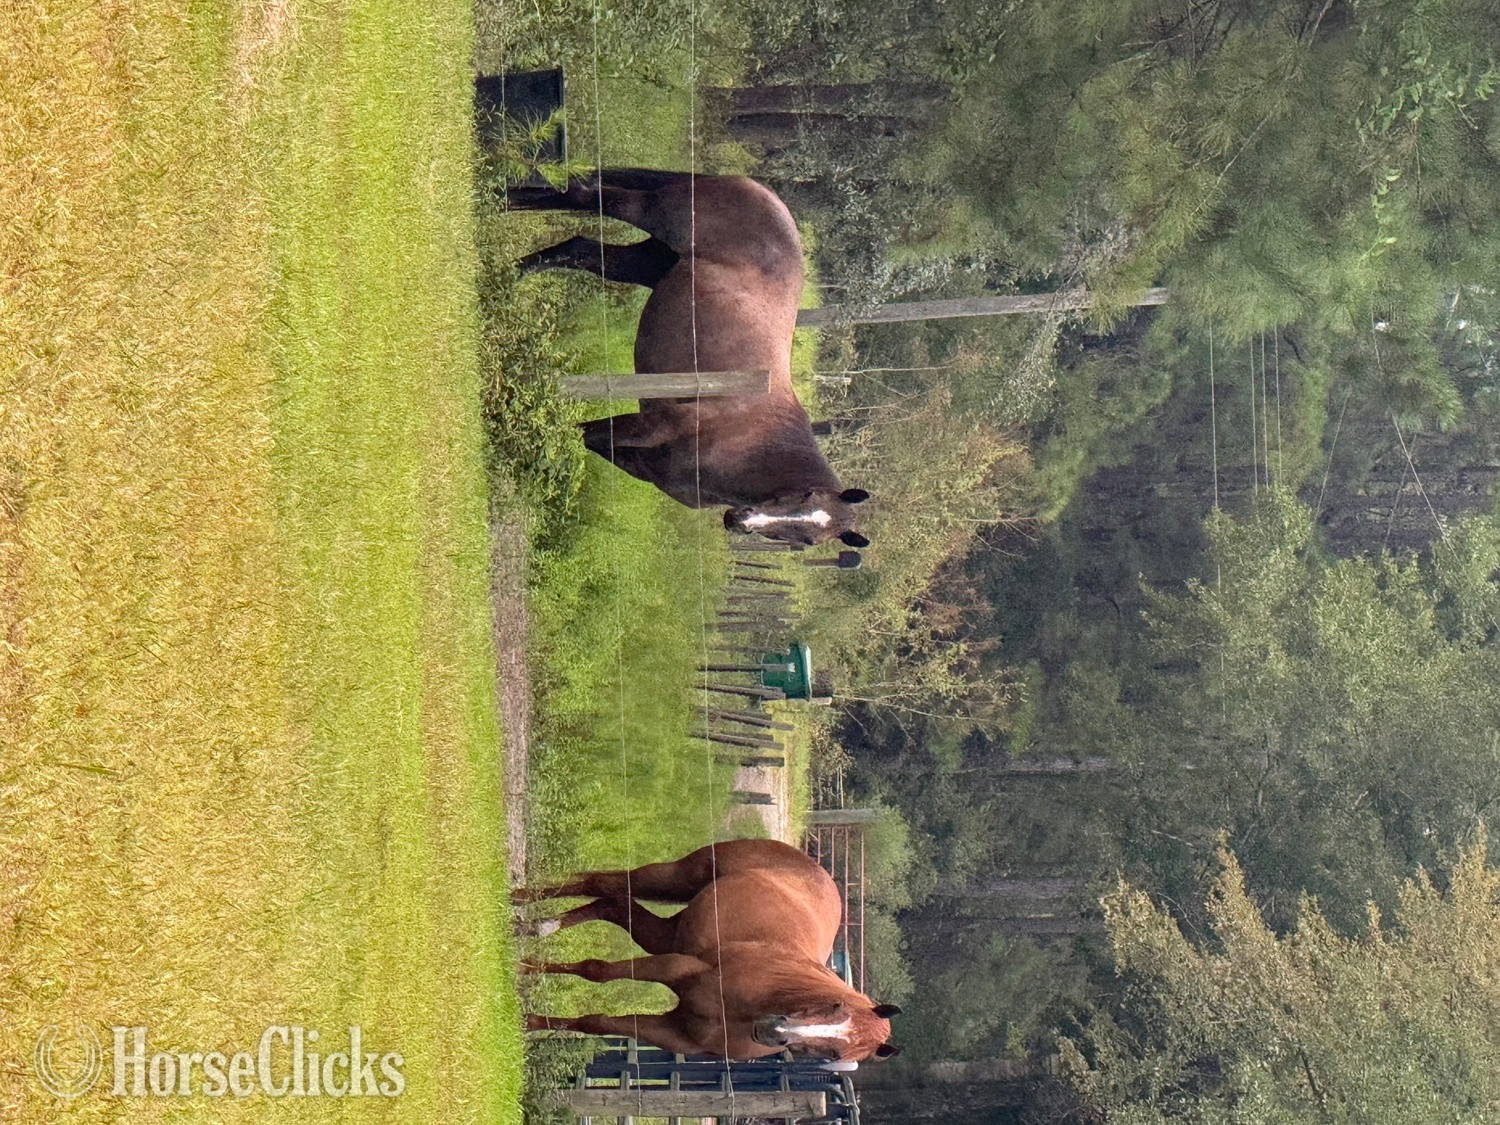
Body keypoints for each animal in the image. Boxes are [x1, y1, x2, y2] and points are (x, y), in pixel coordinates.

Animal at [508, 169, 871, 549]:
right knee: (588, 195)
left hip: (650, 261)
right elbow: (573, 430)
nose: (740, 520)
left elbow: (583, 438)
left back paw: (513, 266)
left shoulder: (636, 459)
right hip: (653, 214)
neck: (748, 440)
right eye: (805, 495)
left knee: (579, 248)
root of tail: (761, 191)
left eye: (807, 541)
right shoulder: (649, 425)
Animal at [518, 838, 901, 1062]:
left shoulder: (674, 1033)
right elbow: (596, 971)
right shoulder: (676, 966)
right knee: (603, 883)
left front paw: (530, 1021)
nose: (772, 1032)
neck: (742, 1012)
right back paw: (521, 904)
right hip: (677, 878)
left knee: (610, 903)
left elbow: (595, 1022)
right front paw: (525, 970)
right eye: (834, 1006)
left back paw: (538, 925)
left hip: (665, 933)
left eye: (833, 1054)